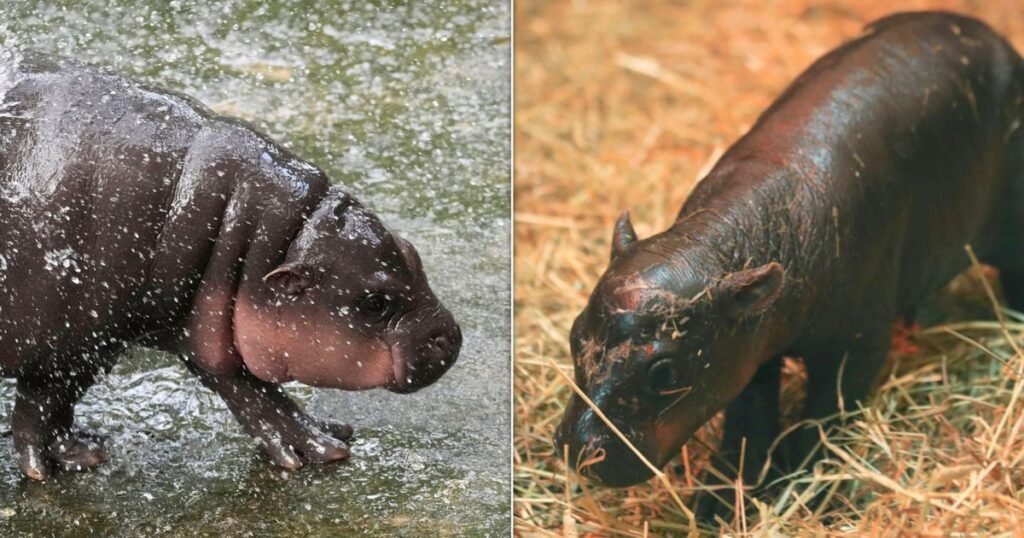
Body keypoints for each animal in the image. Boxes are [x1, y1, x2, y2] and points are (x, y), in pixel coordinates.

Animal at [0, 50, 460, 477]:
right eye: (375, 303)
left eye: (412, 251)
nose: (450, 337)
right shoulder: (70, 341)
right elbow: (44, 405)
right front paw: (64, 461)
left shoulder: (182, 325)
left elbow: (249, 391)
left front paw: (323, 438)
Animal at [557, 10, 1024, 516]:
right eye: (575, 335)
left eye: (664, 371)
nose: (579, 449)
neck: (718, 244)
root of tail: (991, 35)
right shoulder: (749, 348)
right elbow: (747, 424)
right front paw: (719, 506)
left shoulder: (856, 346)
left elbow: (824, 418)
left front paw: (803, 493)